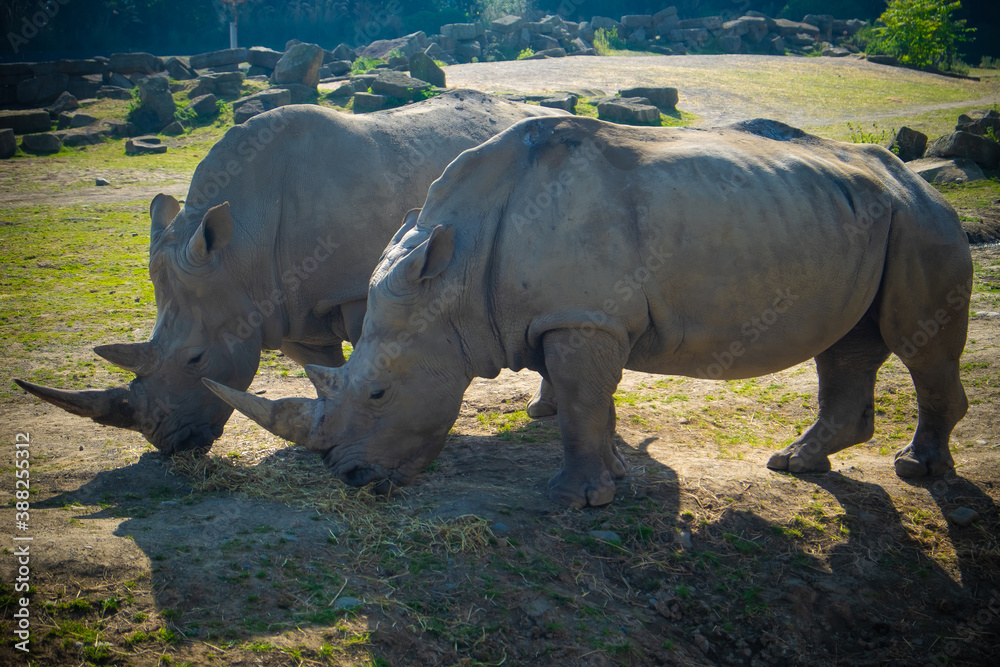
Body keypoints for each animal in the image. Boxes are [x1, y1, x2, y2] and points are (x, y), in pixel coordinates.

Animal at [15, 91, 564, 454]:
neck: (239, 248)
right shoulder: (284, 306)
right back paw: (546, 411)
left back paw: (545, 412)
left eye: (196, 360)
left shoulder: (356, 287)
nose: (172, 445)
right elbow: (319, 368)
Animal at [205, 116, 973, 508]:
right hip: (868, 218)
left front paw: (569, 502)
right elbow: (592, 403)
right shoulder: (578, 317)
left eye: (378, 393)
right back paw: (796, 465)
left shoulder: (580, 317)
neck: (452, 273)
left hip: (924, 224)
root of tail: (920, 181)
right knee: (849, 342)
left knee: (916, 341)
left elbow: (579, 401)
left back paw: (918, 472)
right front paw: (612, 486)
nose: (350, 478)